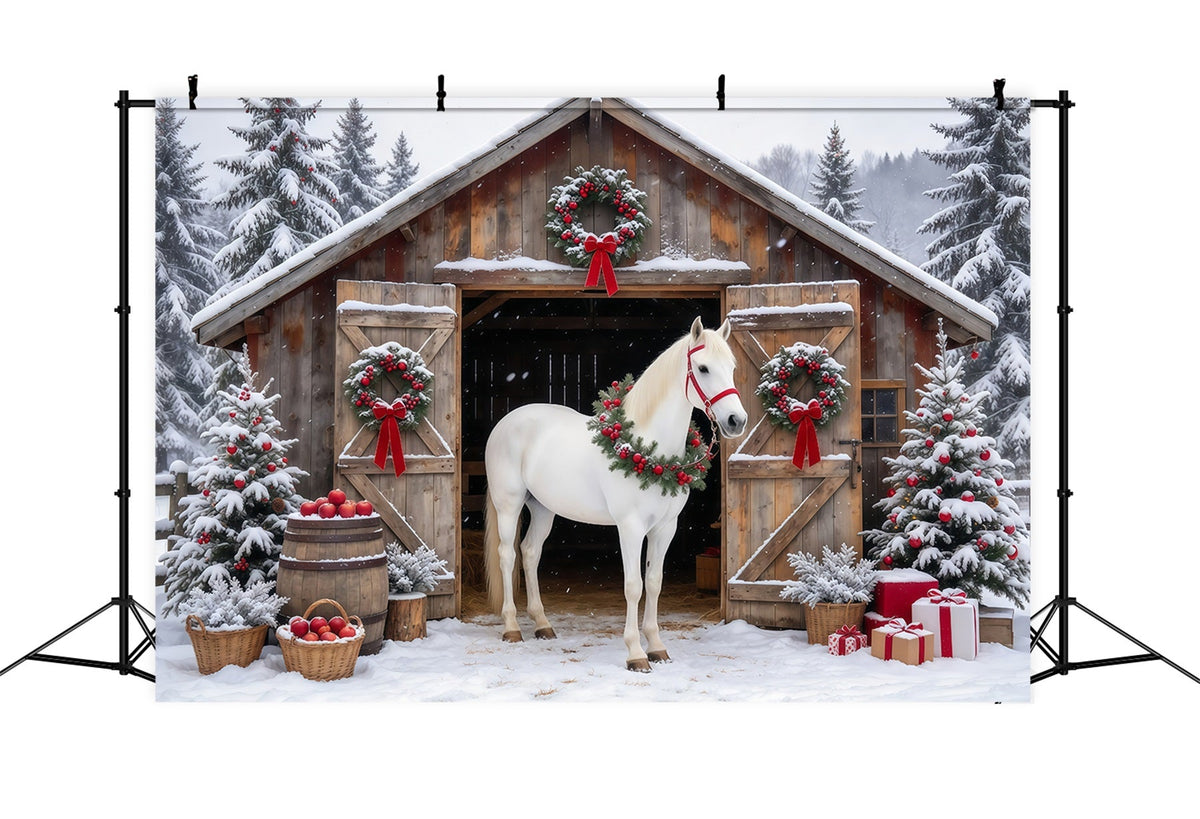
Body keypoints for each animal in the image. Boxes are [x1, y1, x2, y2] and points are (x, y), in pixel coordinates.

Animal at [483, 317, 748, 671]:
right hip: (509, 505)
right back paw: (512, 627)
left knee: (529, 552)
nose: (736, 421)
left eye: (731, 368)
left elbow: (654, 582)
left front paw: (657, 647)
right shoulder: (630, 527)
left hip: (542, 508)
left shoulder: (665, 528)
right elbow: (634, 586)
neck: (648, 450)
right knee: (507, 555)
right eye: (703, 368)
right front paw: (635, 653)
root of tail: (506, 422)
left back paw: (542, 624)